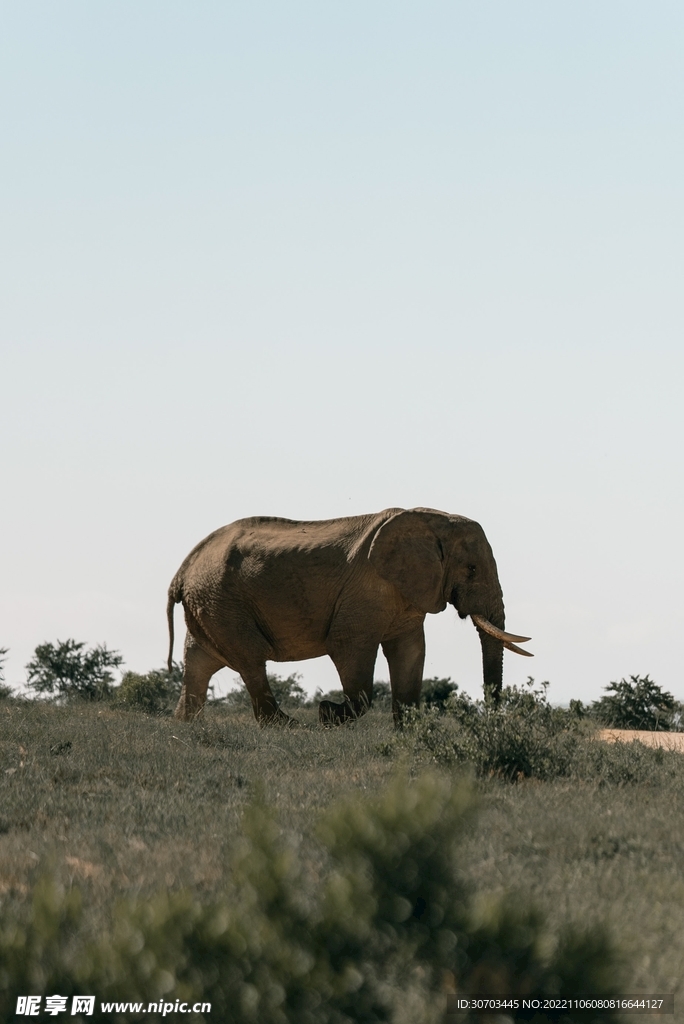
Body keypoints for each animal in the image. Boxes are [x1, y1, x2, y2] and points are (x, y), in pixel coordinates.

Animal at [166, 507, 532, 724]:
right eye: (472, 570)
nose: (493, 722)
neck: (432, 520)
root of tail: (183, 569)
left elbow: (410, 652)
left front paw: (408, 734)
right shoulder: (366, 592)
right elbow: (350, 649)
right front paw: (327, 713)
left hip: (210, 603)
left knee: (199, 662)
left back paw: (186, 725)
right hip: (223, 601)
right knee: (251, 660)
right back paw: (288, 726)